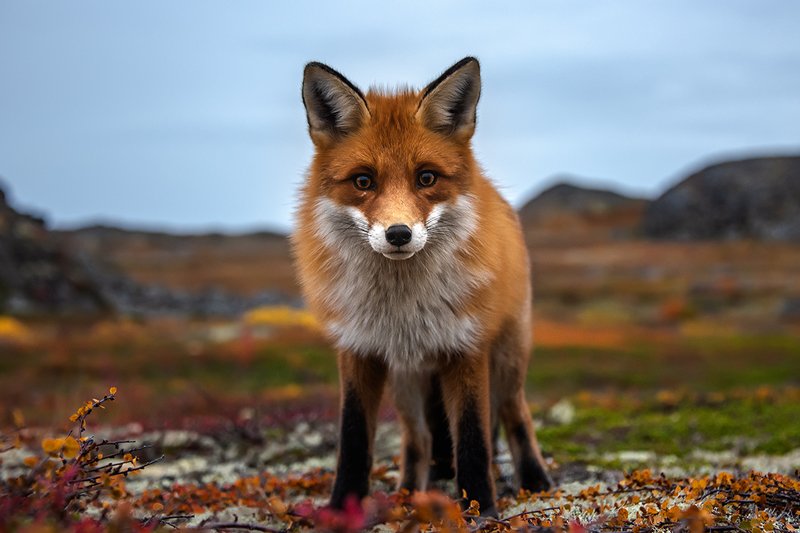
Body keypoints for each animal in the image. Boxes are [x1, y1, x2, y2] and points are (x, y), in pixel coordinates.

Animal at [292, 57, 553, 517]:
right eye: (363, 181)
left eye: (426, 178)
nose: (398, 234)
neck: (403, 307)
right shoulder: (357, 350)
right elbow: (353, 439)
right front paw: (342, 507)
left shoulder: (467, 348)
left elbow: (473, 440)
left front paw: (480, 509)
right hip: (407, 381)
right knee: (420, 439)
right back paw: (409, 493)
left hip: (508, 357)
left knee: (514, 413)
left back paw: (535, 480)